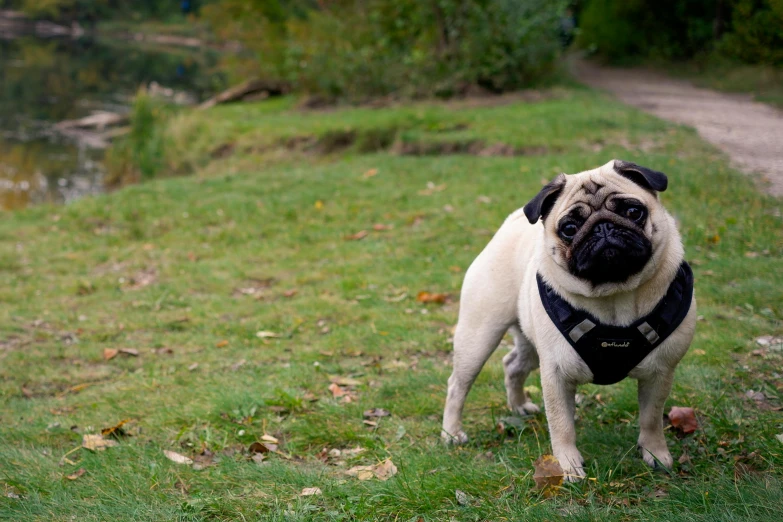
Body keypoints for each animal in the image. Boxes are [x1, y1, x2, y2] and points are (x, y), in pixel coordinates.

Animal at [444, 159, 696, 480]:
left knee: (512, 365)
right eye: (569, 228)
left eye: (633, 212)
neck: (615, 296)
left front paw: (655, 453)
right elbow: (561, 424)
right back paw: (452, 433)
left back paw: (519, 407)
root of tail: (510, 224)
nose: (603, 227)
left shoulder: (660, 372)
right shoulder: (556, 374)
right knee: (458, 385)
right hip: (478, 337)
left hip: (529, 343)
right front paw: (567, 464)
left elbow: (651, 419)